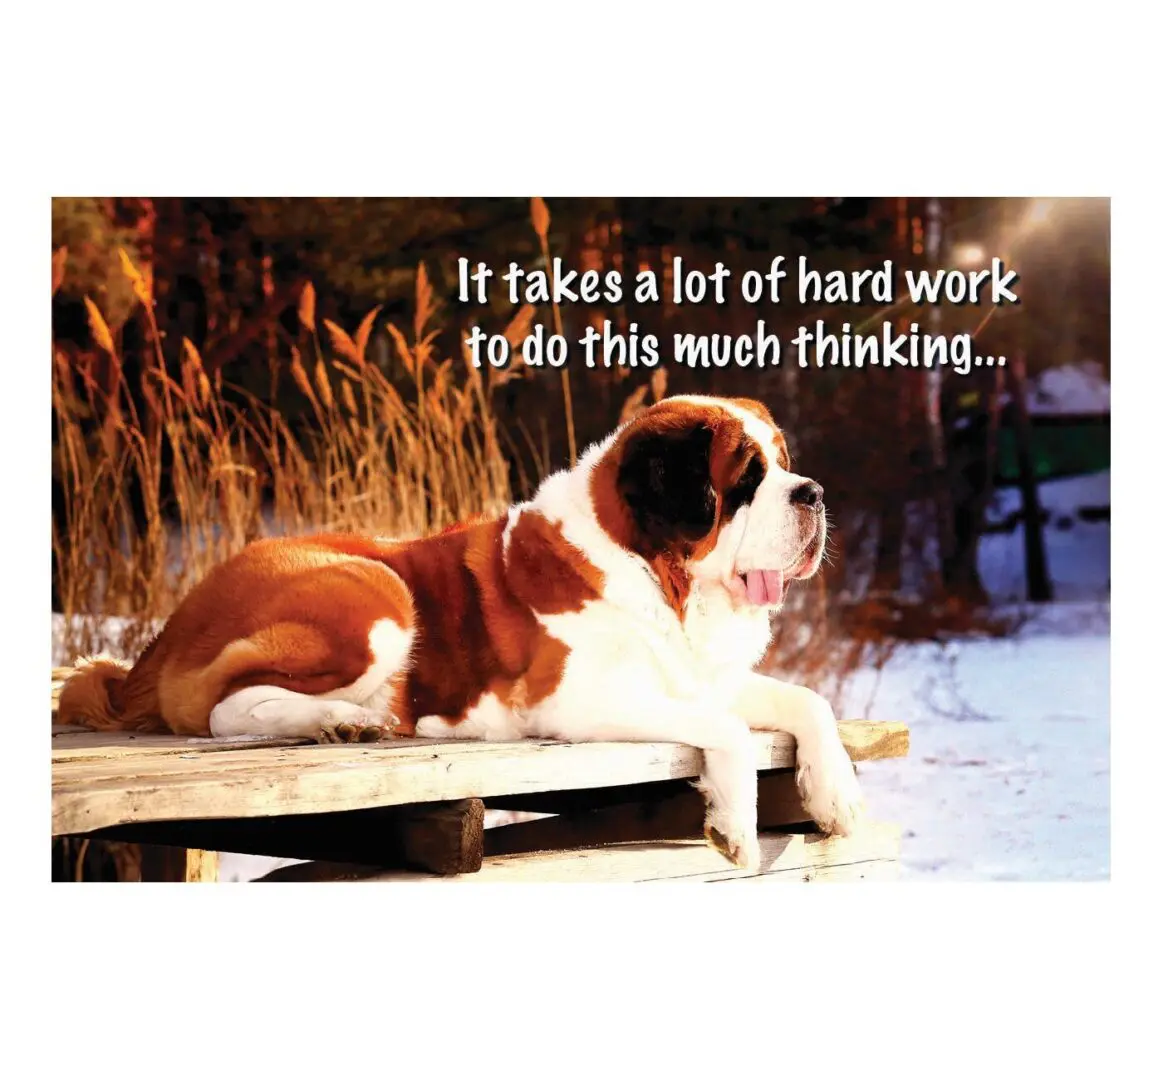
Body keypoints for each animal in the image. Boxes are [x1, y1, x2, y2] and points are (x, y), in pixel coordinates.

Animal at [61, 395, 865, 869]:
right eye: (746, 477)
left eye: (784, 465)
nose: (815, 493)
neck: (656, 573)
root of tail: (167, 629)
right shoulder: (575, 702)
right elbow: (728, 732)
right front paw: (735, 823)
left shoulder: (702, 678)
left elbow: (808, 702)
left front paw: (837, 798)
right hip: (378, 594)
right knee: (224, 709)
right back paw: (341, 721)